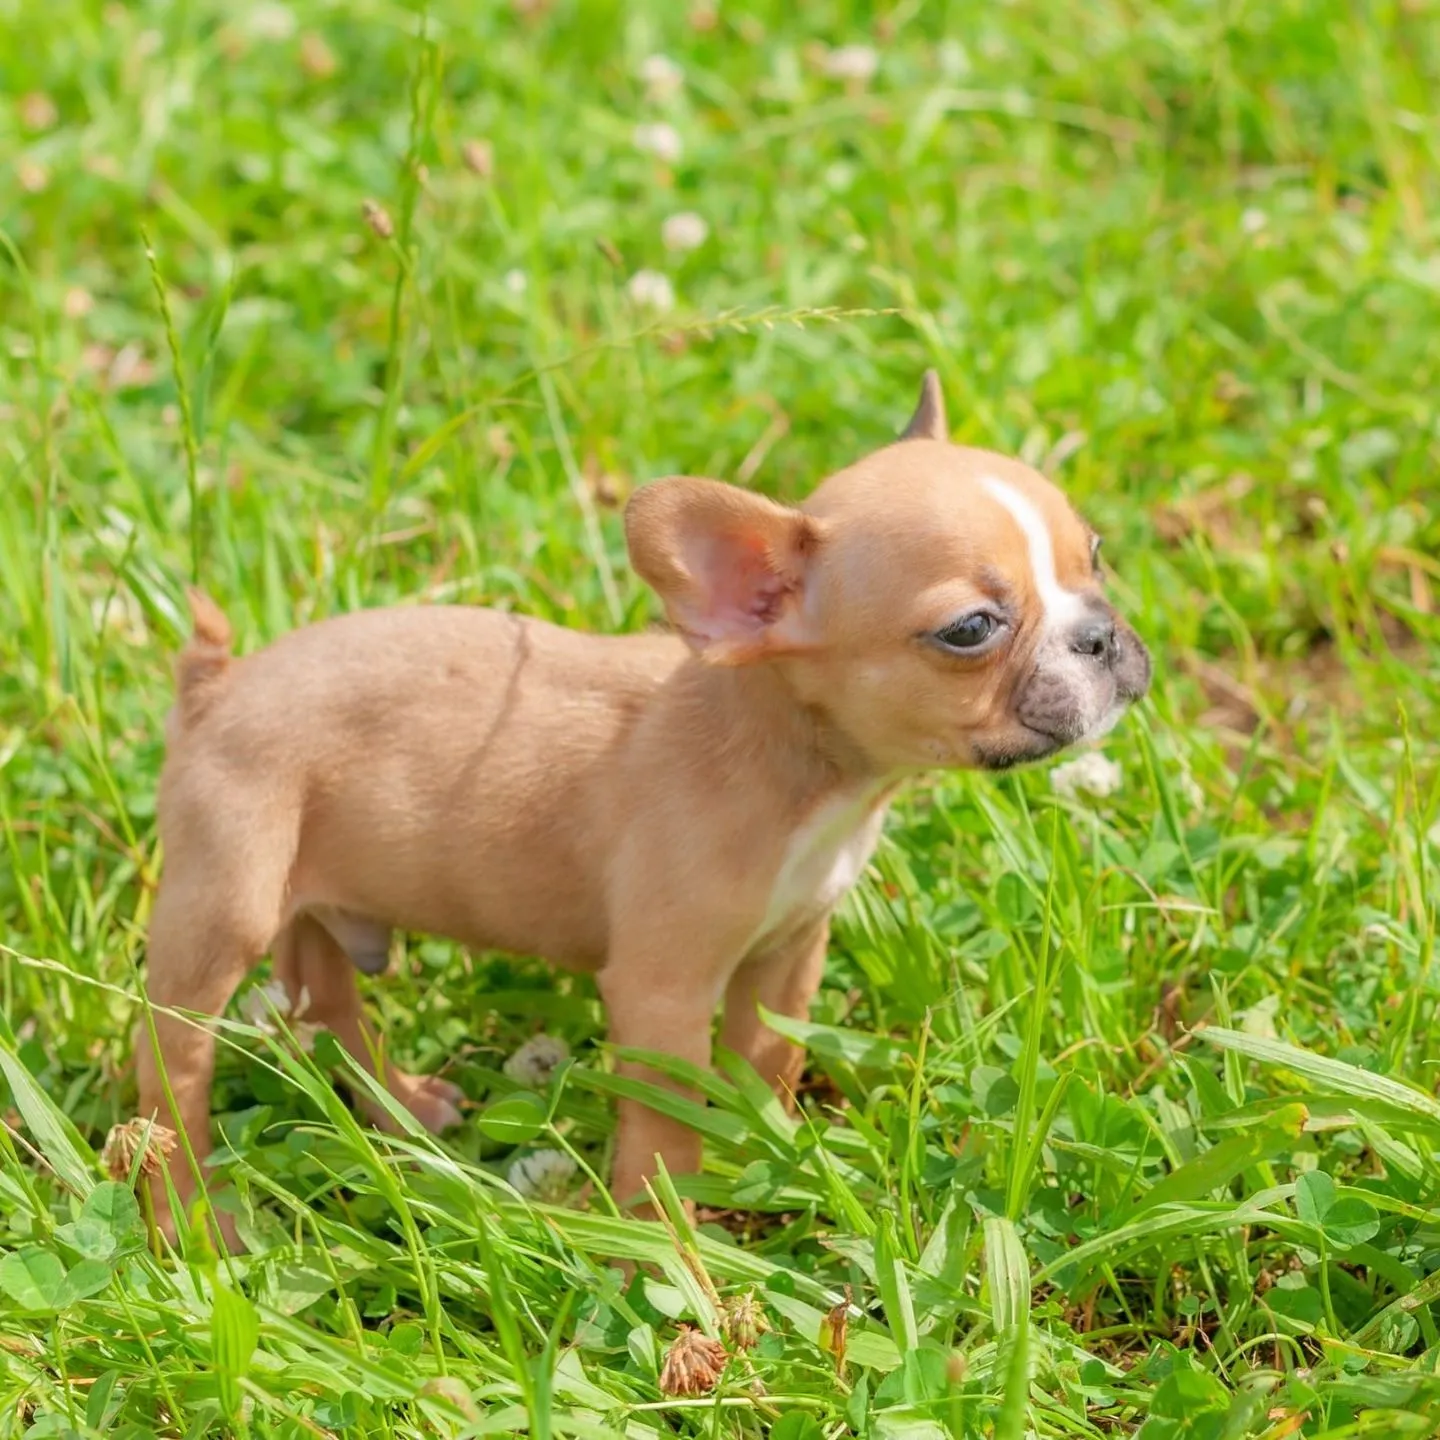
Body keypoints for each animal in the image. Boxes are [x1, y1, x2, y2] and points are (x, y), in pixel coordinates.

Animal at [135, 377, 1146, 1244]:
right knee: (171, 1065)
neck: (792, 762)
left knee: (329, 1003)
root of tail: (215, 688)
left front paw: (768, 1149)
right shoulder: (663, 996)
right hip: (224, 906)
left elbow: (766, 1058)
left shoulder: (789, 951)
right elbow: (664, 1140)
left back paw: (404, 1107)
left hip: (319, 905)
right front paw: (664, 1259)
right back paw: (192, 1216)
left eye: (1095, 555)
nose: (1102, 637)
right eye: (970, 630)